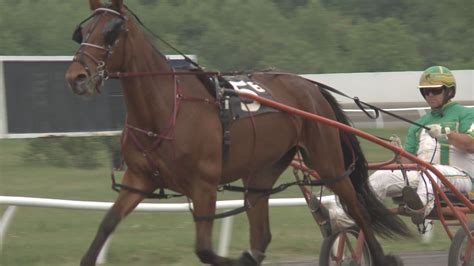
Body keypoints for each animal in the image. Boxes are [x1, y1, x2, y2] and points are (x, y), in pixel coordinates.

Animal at [65, 1, 410, 264]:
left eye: (111, 32)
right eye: (82, 32)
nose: (76, 77)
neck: (166, 109)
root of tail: (309, 85)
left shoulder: (204, 184)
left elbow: (204, 250)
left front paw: (239, 258)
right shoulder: (139, 179)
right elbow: (106, 224)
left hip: (328, 162)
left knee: (357, 209)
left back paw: (381, 255)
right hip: (262, 171)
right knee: (262, 230)